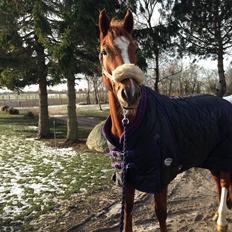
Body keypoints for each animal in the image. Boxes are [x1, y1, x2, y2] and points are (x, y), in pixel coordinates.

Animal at [98, 9, 232, 232]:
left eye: (134, 48)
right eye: (104, 51)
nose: (130, 94)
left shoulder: (160, 177)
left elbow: (160, 213)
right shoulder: (128, 178)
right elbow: (127, 211)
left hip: (223, 156)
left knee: (224, 183)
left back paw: (221, 220)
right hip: (212, 158)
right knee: (219, 181)